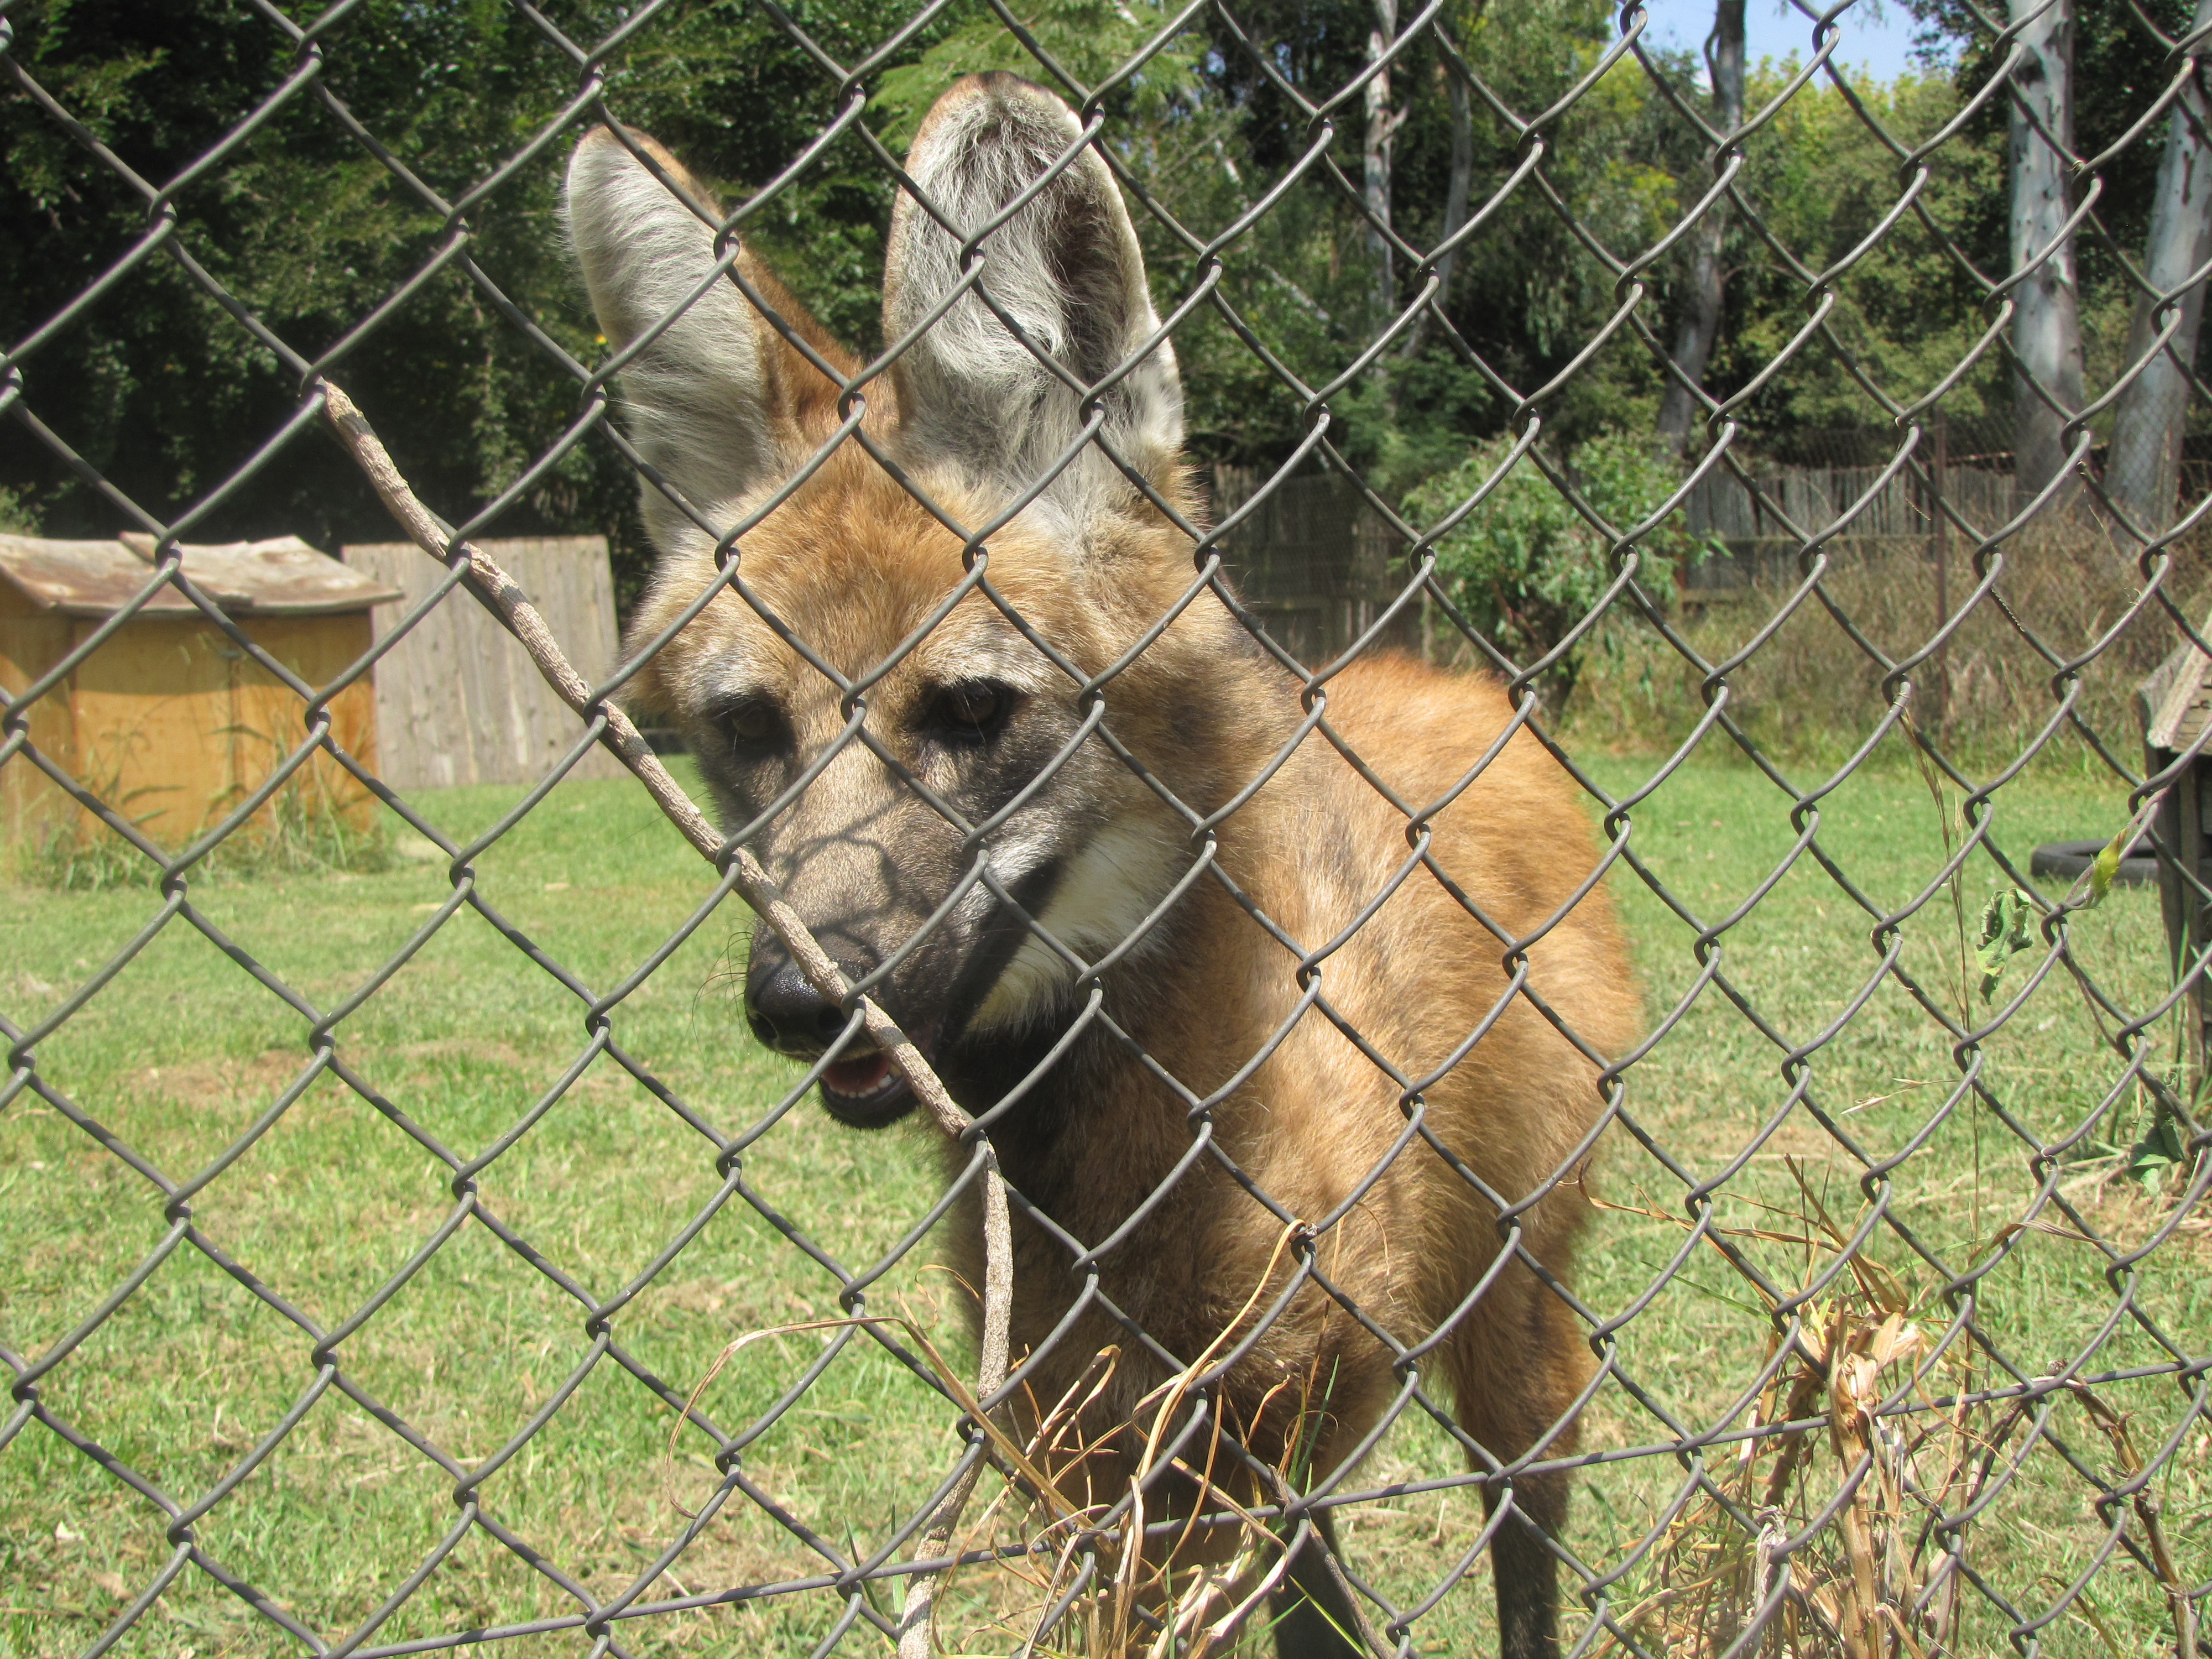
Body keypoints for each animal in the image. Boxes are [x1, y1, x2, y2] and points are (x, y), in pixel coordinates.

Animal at [565, 72, 1639, 1659]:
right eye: (748, 730)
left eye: (969, 711)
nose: (801, 1004)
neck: (1102, 1148)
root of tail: (1456, 686)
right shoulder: (1099, 1460)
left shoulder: (1259, 1409)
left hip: (1507, 1314)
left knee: (1527, 1504)